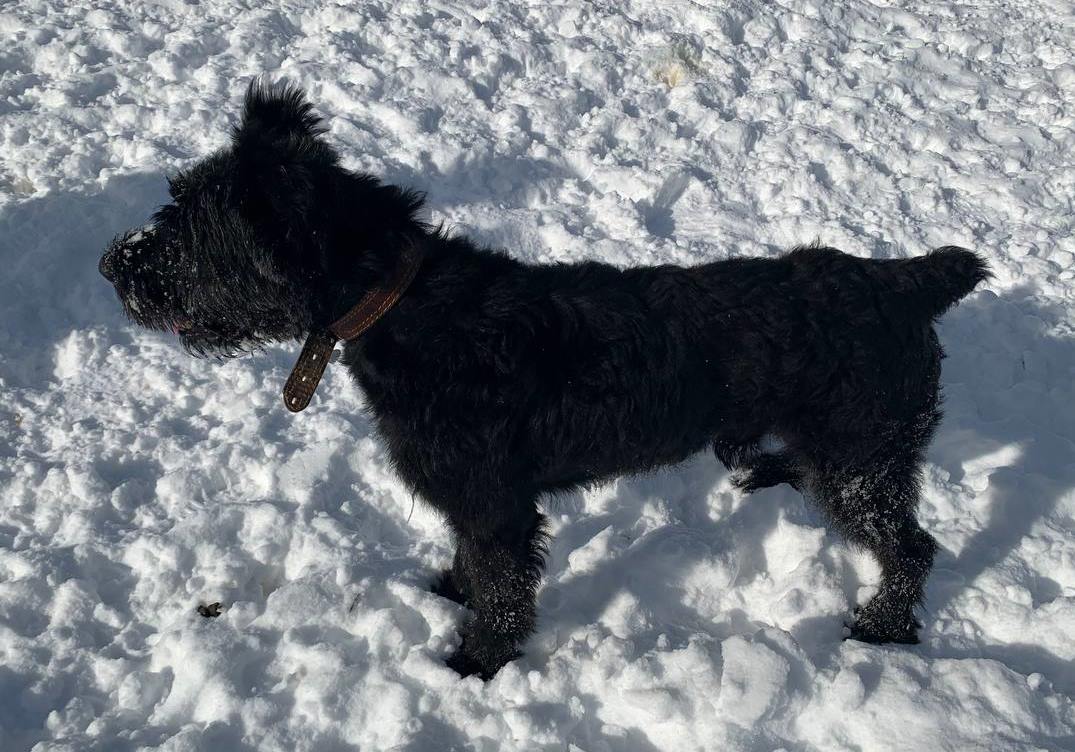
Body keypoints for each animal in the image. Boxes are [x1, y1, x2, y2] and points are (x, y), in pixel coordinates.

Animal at [99, 82, 990, 679]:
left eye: (192, 227)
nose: (114, 267)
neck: (405, 304)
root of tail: (902, 281)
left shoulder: (495, 503)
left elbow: (501, 586)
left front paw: (475, 661)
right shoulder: (472, 499)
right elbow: (468, 561)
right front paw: (450, 591)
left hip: (861, 460)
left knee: (910, 545)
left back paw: (881, 626)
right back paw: (768, 468)